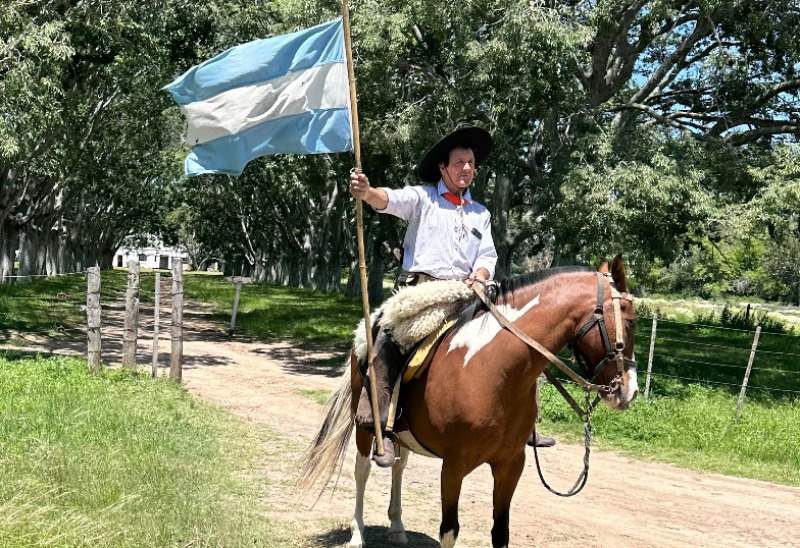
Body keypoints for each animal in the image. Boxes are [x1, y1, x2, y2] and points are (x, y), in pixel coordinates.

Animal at [296, 255, 640, 544]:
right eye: (632, 319)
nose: (629, 391)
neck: (494, 370)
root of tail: (372, 323)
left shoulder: (511, 463)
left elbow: (500, 532)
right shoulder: (454, 464)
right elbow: (449, 530)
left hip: (403, 431)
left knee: (399, 466)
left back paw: (397, 527)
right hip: (365, 425)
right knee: (362, 469)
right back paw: (357, 535)